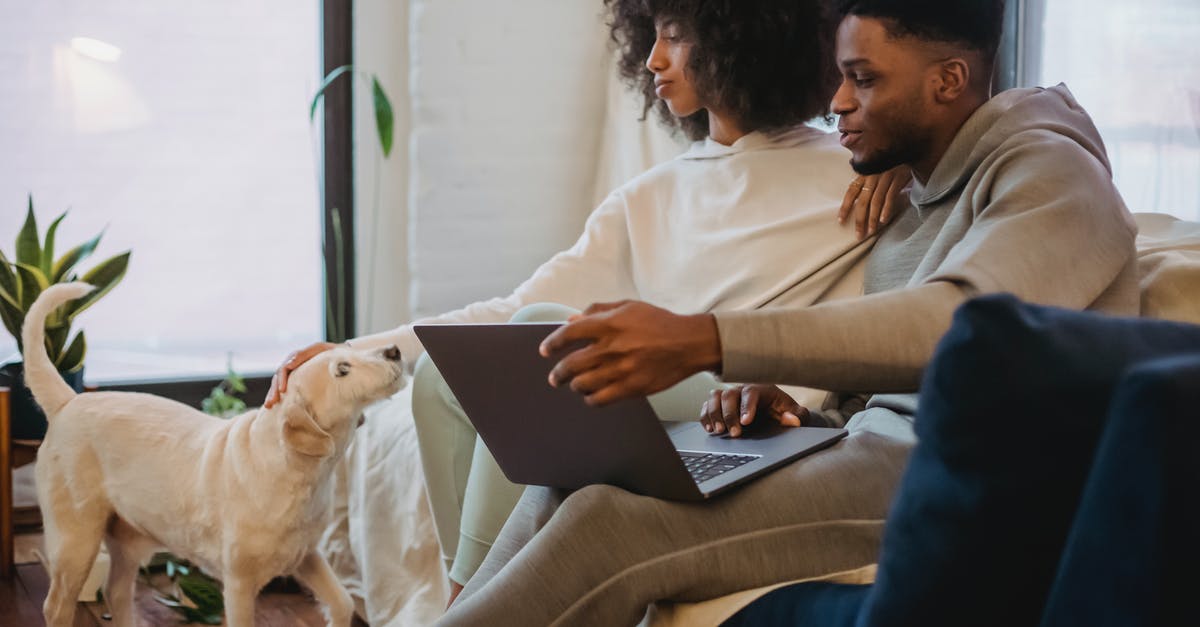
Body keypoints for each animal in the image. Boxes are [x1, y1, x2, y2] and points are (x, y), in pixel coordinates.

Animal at [23, 283, 405, 624]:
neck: (295, 470)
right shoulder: (239, 584)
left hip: (127, 540)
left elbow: (342, 603)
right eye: (342, 370)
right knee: (56, 605)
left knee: (116, 591)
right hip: (76, 540)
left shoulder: (306, 555)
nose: (394, 350)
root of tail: (68, 400)